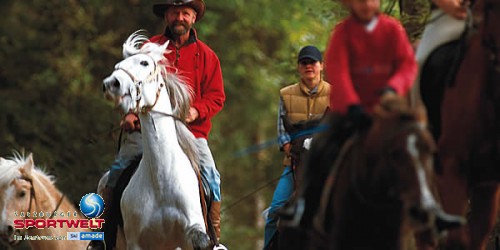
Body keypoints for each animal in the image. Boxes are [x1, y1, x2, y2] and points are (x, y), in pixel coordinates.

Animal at [101, 31, 211, 250]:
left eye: (144, 62)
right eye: (119, 64)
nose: (111, 84)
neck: (162, 181)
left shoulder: (189, 233)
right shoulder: (136, 242)